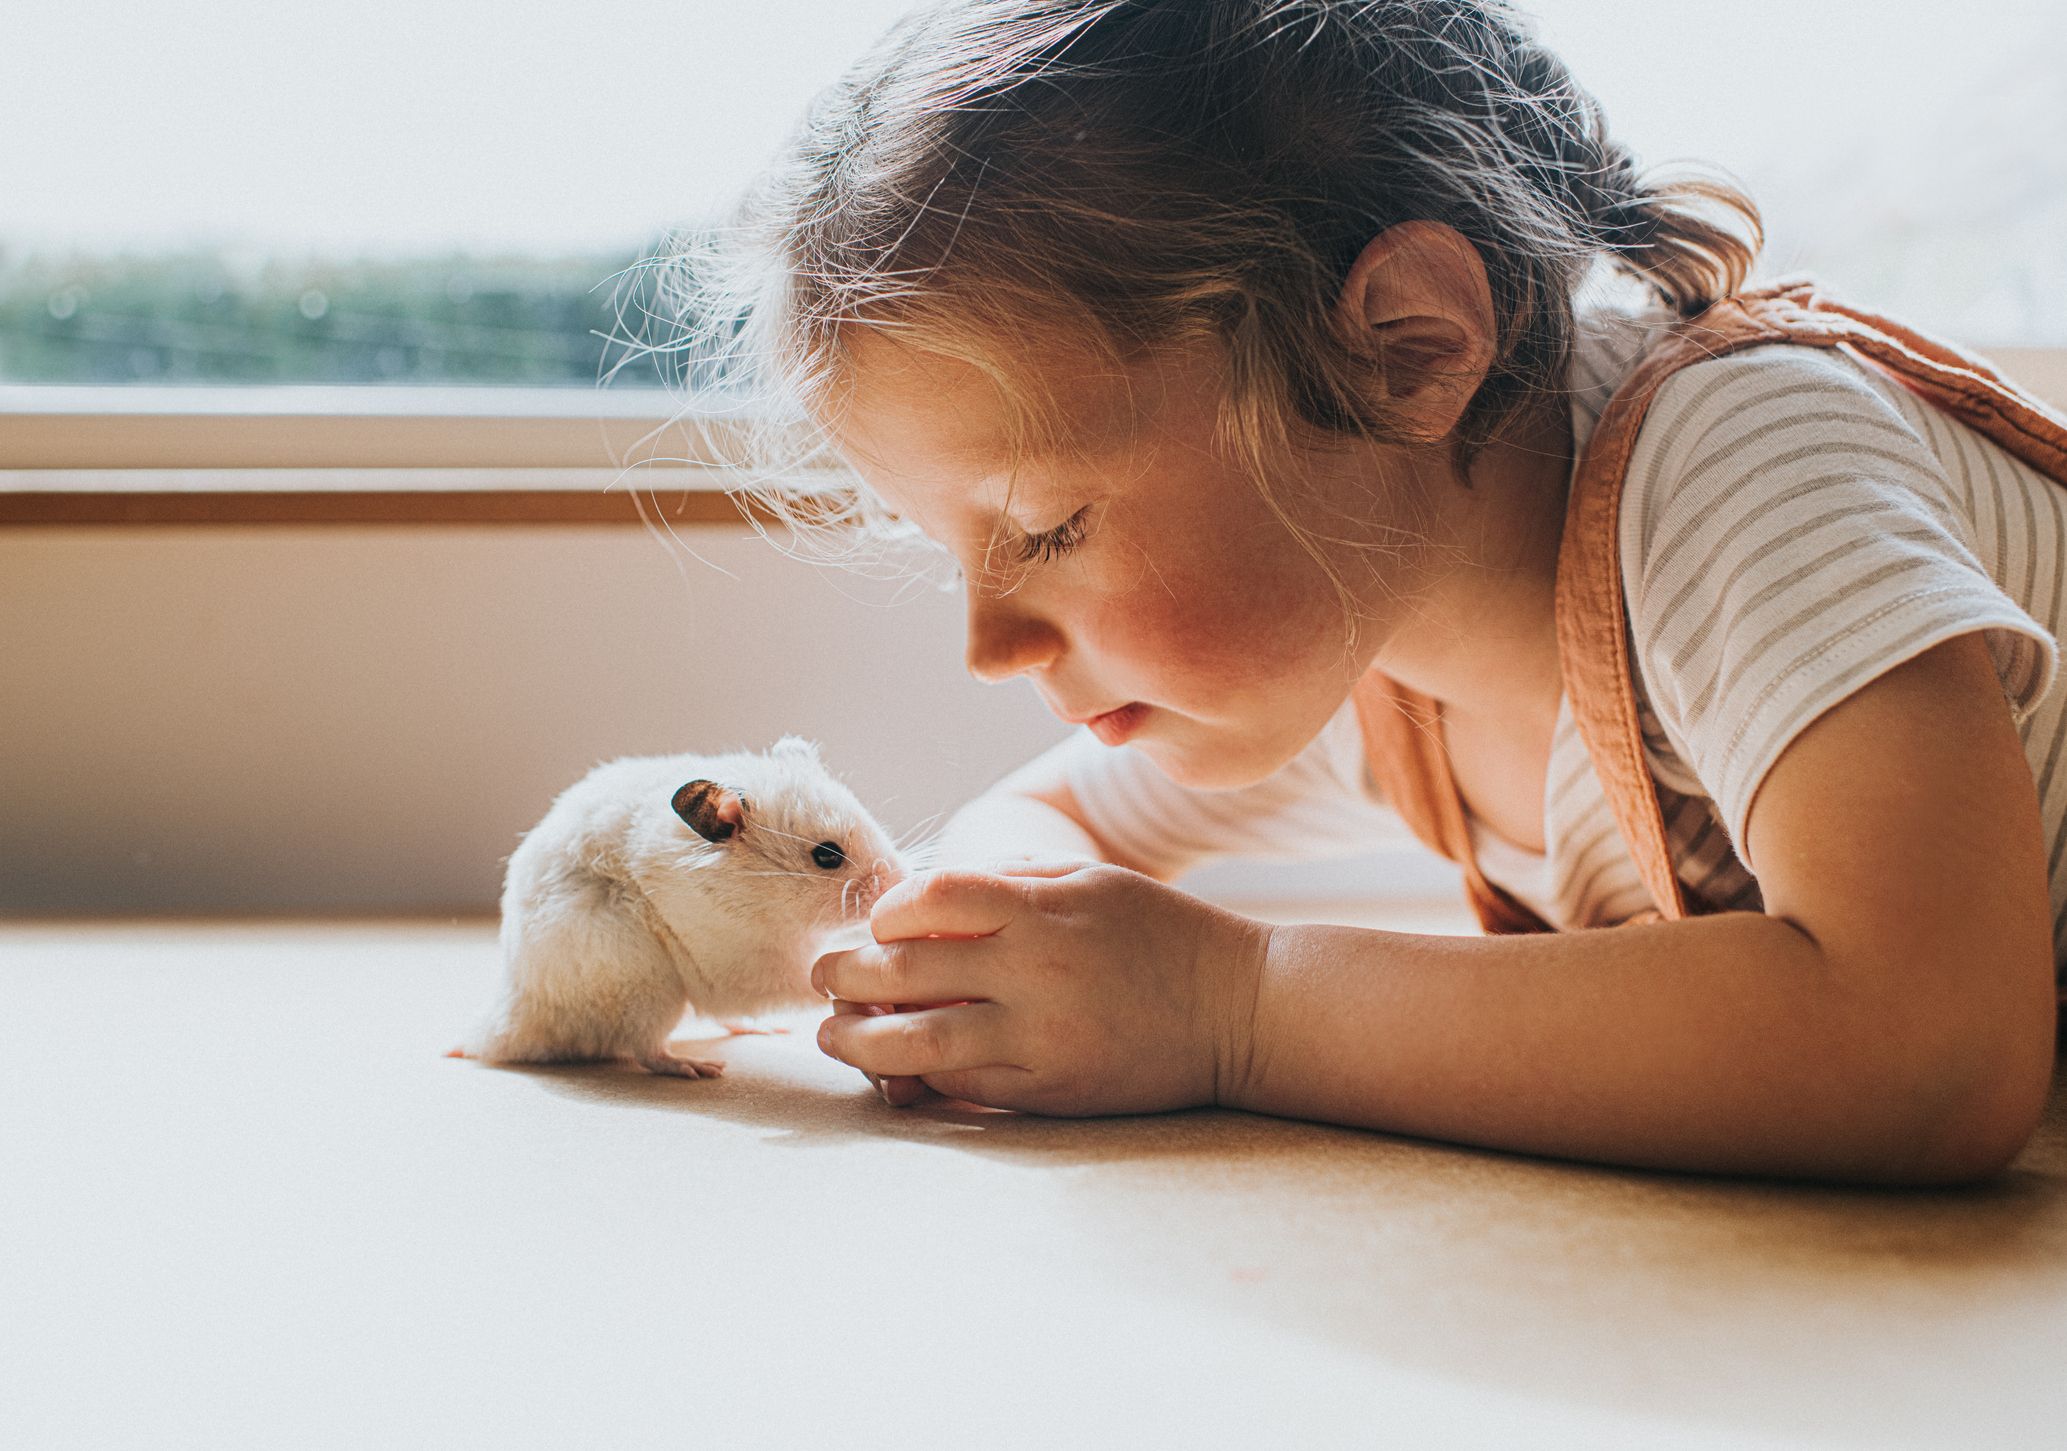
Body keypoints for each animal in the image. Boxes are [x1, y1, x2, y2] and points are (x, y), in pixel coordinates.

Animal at [456, 739, 909, 1083]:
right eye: (827, 855)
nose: (896, 881)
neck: (765, 902)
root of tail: (508, 1023)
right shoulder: (740, 964)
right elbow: (807, 979)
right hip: (645, 984)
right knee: (646, 1050)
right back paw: (697, 1068)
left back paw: (761, 1030)